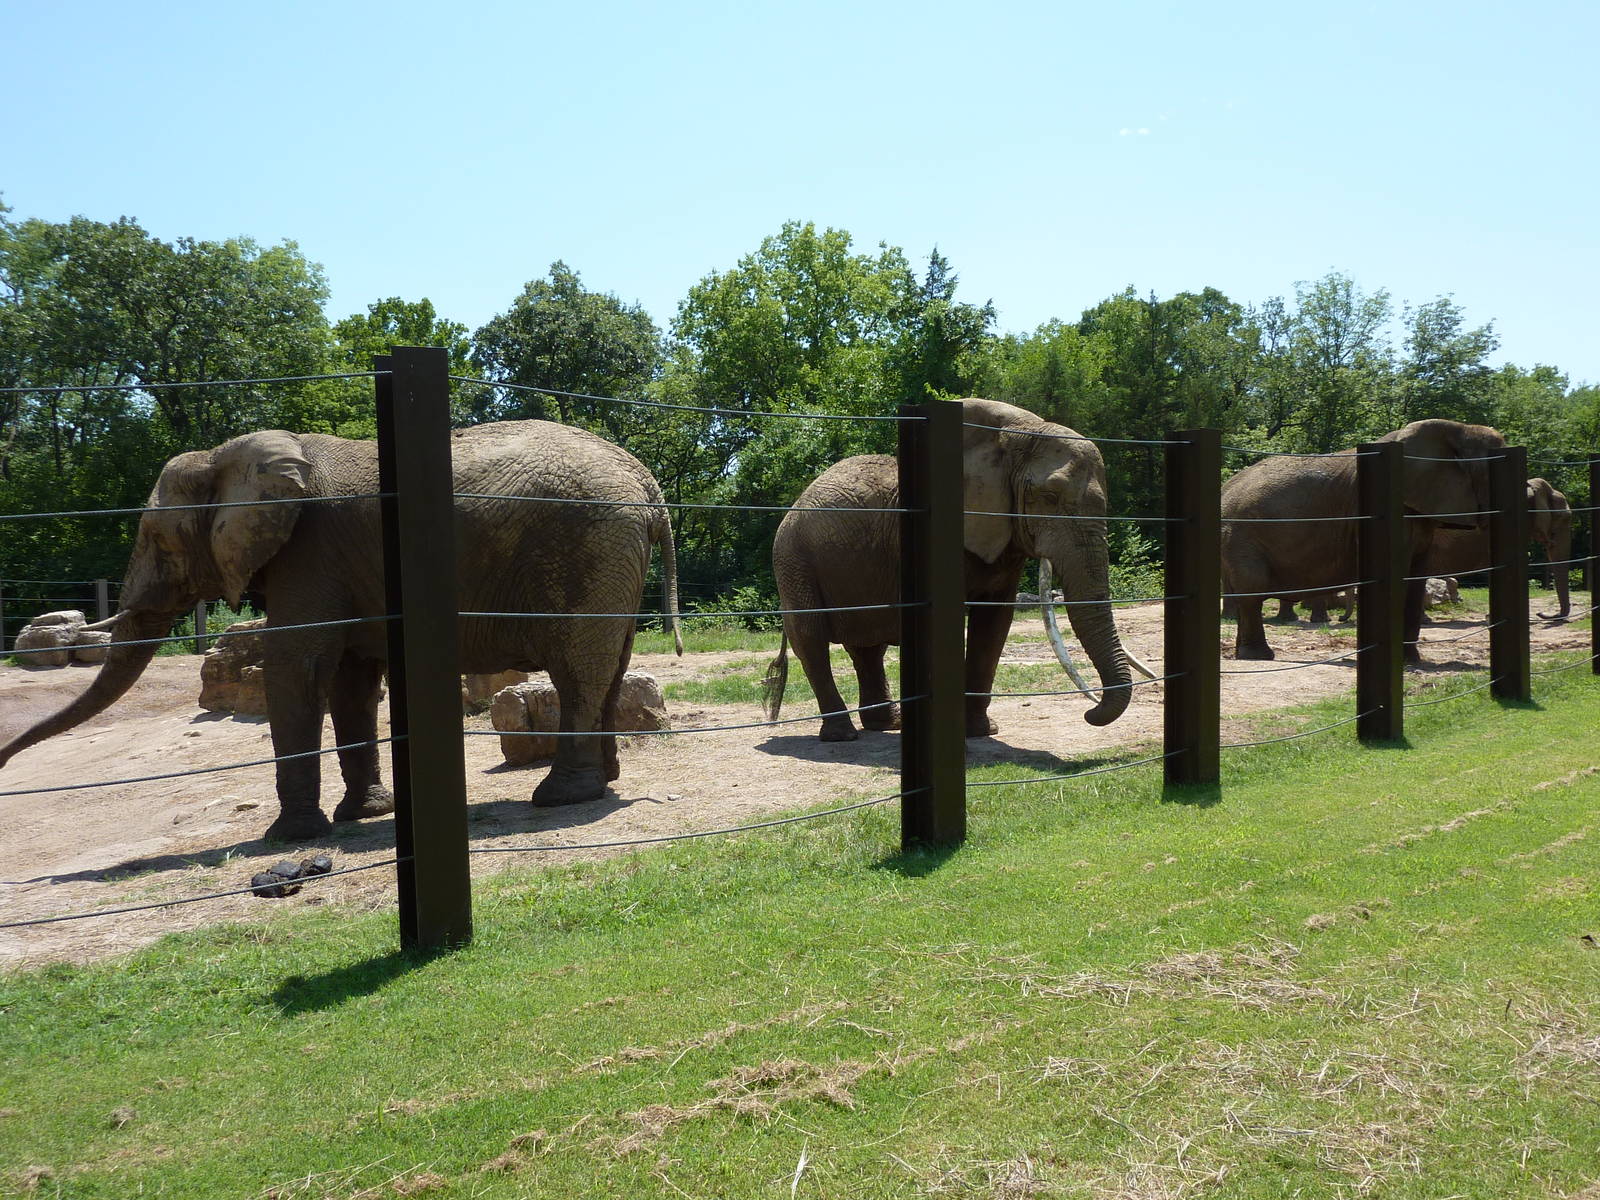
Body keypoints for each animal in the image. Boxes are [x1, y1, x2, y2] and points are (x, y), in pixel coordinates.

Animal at [0, 421, 682, 840]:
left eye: (157, 540)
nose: (6, 761)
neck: (231, 457)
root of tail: (648, 484)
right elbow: (350, 680)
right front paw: (363, 815)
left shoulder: (310, 553)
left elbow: (297, 667)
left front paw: (292, 837)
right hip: (611, 557)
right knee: (609, 664)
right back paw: (602, 783)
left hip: (588, 546)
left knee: (576, 671)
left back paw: (558, 798)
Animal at [761, 398, 1140, 741]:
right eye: (1048, 497)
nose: (1090, 712)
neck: (1017, 432)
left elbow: (994, 622)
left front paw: (981, 732)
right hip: (793, 559)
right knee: (810, 637)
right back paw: (842, 735)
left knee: (866, 645)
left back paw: (886, 725)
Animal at [1220, 419, 1506, 663]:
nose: (1340, 620)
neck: (1458, 428)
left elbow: (1415, 578)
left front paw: (1410, 661)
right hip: (1241, 537)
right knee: (1252, 590)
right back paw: (1259, 656)